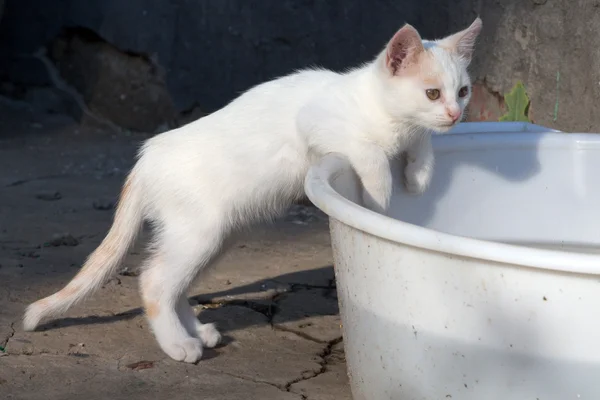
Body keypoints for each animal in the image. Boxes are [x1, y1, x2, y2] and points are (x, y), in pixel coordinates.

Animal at [22, 18, 482, 362]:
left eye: (462, 91)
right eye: (432, 93)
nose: (455, 114)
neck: (384, 114)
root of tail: (146, 158)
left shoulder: (411, 133)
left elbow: (421, 145)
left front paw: (418, 174)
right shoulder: (316, 123)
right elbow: (369, 154)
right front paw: (378, 194)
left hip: (217, 237)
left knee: (174, 283)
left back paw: (197, 331)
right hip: (200, 231)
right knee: (154, 282)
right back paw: (178, 344)